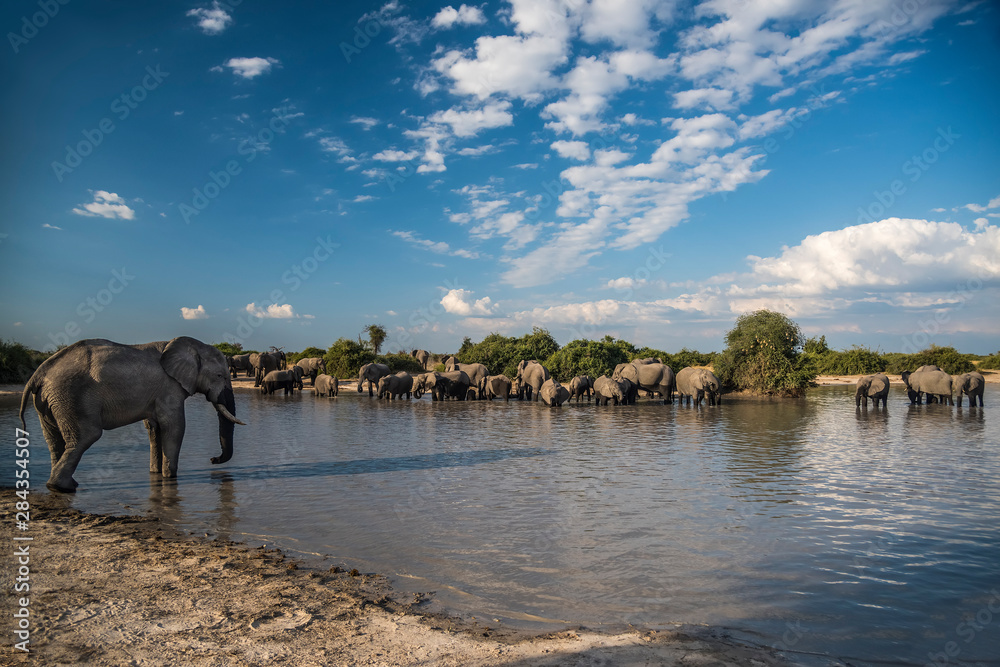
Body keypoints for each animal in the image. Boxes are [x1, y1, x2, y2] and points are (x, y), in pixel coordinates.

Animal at [19, 336, 243, 493]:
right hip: (70, 396)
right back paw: (63, 487)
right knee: (86, 436)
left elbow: (154, 428)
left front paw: (155, 474)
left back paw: (62, 485)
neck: (193, 345)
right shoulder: (169, 389)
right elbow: (175, 426)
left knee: (53, 439)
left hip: (50, 400)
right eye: (220, 376)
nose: (212, 459)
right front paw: (170, 478)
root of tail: (38, 374)